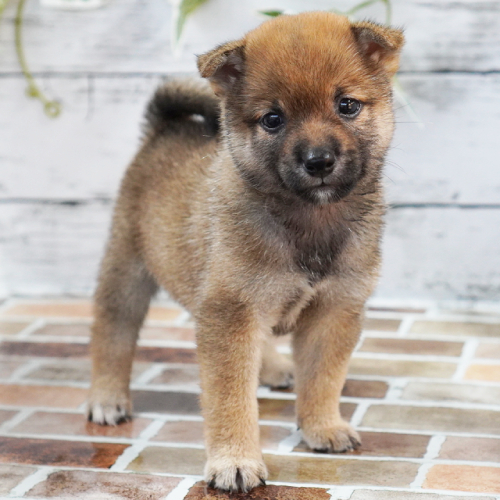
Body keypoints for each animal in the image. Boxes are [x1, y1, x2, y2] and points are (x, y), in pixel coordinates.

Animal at [88, 10, 404, 492]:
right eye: (273, 119)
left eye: (347, 105)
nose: (318, 160)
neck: (307, 221)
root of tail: (165, 127)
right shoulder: (231, 314)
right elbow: (231, 398)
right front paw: (235, 460)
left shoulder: (332, 310)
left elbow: (323, 378)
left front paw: (322, 426)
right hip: (128, 270)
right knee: (113, 332)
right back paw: (107, 396)